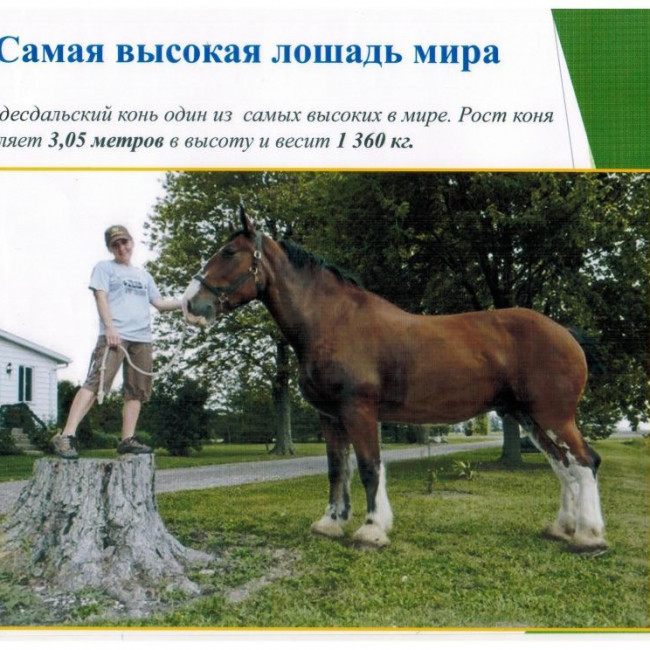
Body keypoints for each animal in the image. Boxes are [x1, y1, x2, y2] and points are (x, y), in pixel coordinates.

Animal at [181, 211, 607, 553]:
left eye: (229, 252)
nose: (191, 304)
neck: (332, 321)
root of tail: (566, 334)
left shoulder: (359, 410)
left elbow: (370, 468)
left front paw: (371, 531)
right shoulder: (330, 417)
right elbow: (337, 470)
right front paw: (330, 524)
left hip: (553, 416)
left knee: (584, 462)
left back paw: (589, 537)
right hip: (530, 418)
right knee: (564, 467)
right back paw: (561, 528)